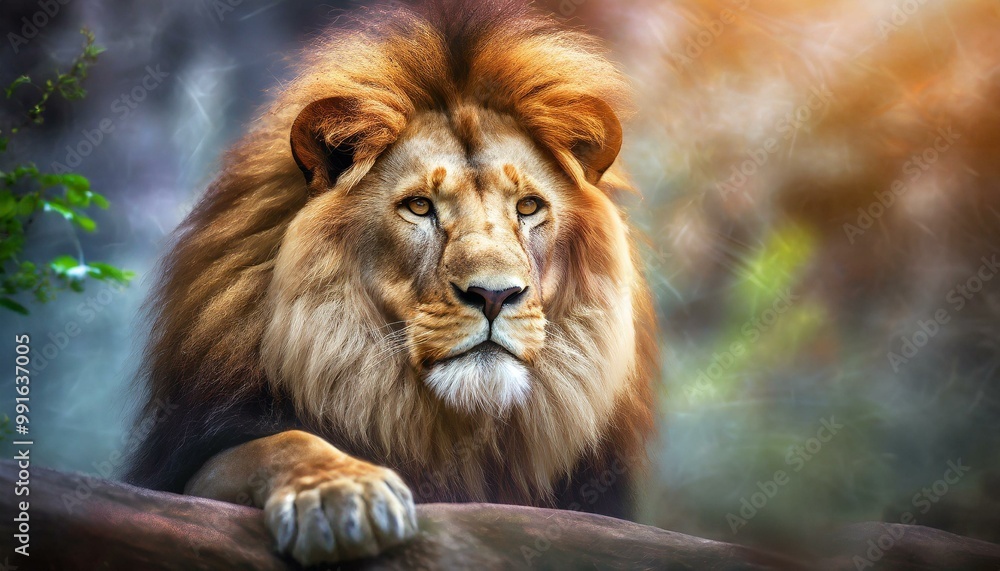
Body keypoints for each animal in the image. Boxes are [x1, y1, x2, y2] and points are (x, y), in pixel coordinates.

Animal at [124, 0, 657, 565]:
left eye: (529, 206)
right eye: (419, 206)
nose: (494, 295)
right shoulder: (185, 460)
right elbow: (277, 443)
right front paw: (341, 494)